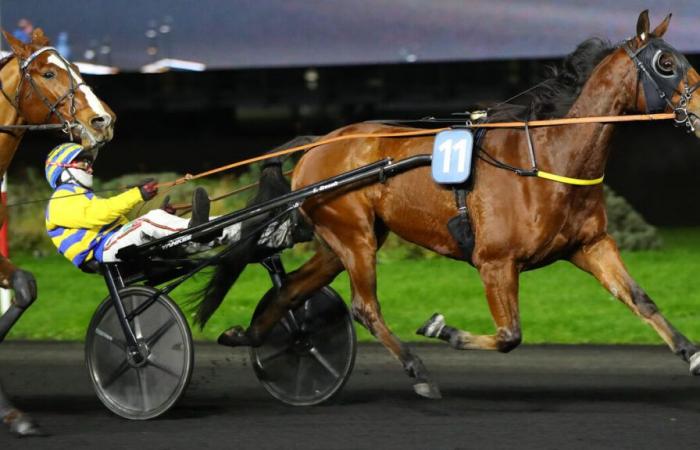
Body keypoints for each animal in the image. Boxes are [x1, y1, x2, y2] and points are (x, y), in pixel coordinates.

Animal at [197, 9, 700, 398]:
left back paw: (249, 335)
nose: (699, 109)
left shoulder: (590, 245)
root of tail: (318, 142)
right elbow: (510, 336)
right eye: (666, 62)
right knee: (364, 307)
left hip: (343, 238)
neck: (549, 158)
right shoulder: (495, 261)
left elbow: (640, 298)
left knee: (292, 289)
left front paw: (691, 354)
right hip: (354, 235)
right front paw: (443, 330)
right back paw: (418, 370)